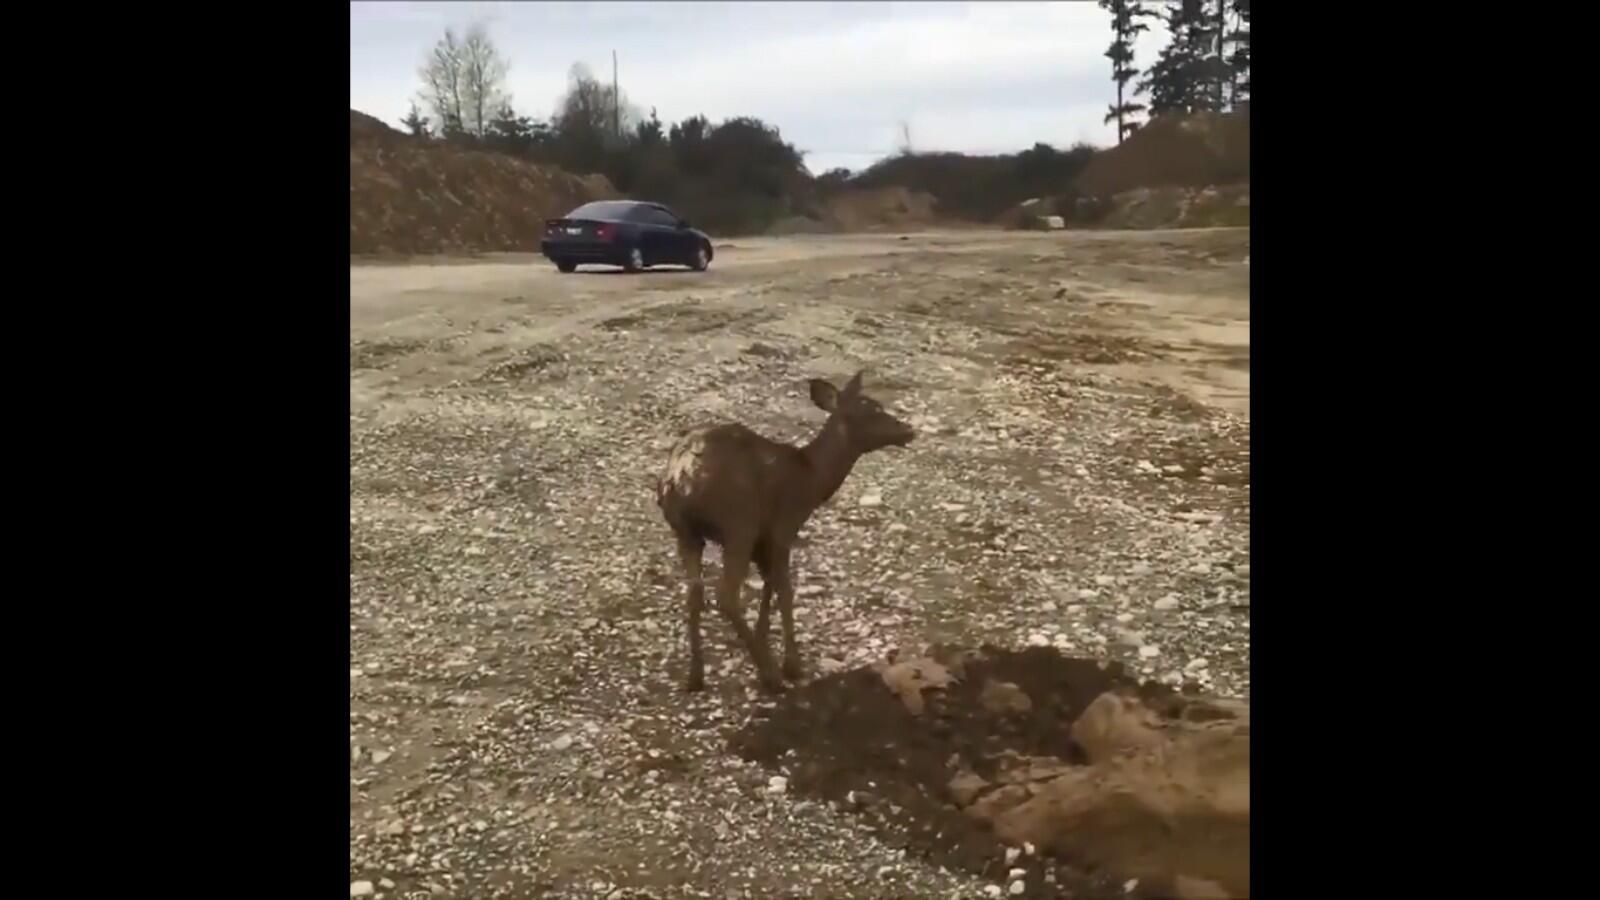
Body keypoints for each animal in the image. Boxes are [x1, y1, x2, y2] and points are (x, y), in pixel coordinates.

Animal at [654, 371, 916, 693]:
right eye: (870, 409)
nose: (908, 429)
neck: (812, 480)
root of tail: (681, 474)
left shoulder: (763, 540)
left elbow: (769, 584)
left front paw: (765, 639)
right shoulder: (784, 525)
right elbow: (785, 588)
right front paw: (792, 665)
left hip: (685, 531)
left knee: (694, 593)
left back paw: (696, 677)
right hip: (737, 521)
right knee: (726, 595)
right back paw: (770, 676)